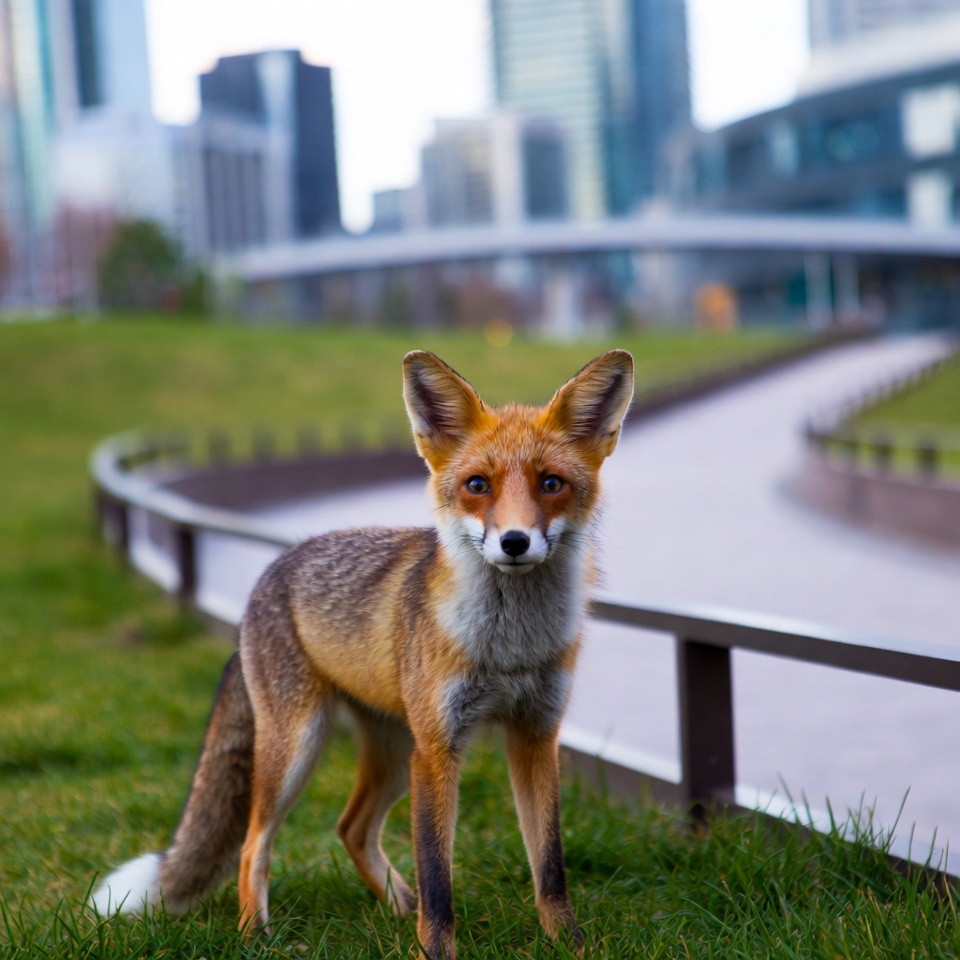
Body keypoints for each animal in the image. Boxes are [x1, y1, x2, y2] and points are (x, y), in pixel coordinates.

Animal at [91, 348, 634, 959]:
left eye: (550, 483)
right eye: (477, 484)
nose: (514, 542)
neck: (508, 649)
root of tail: (271, 571)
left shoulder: (536, 736)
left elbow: (550, 866)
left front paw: (571, 945)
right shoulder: (438, 750)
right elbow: (437, 879)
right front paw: (435, 950)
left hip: (394, 753)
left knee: (350, 828)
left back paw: (396, 906)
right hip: (302, 746)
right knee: (255, 843)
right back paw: (257, 935)